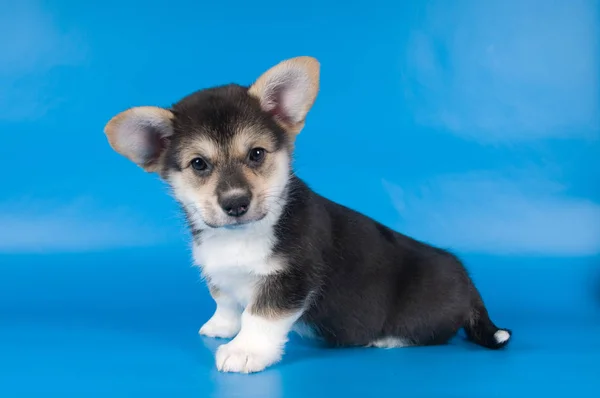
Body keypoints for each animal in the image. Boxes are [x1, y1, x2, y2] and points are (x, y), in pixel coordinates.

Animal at [104, 55, 510, 374]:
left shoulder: (290, 279)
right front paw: (220, 326)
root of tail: (469, 286)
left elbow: (259, 316)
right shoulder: (218, 271)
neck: (243, 235)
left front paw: (244, 351)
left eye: (256, 154)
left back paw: (387, 340)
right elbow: (225, 299)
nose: (235, 203)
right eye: (199, 164)